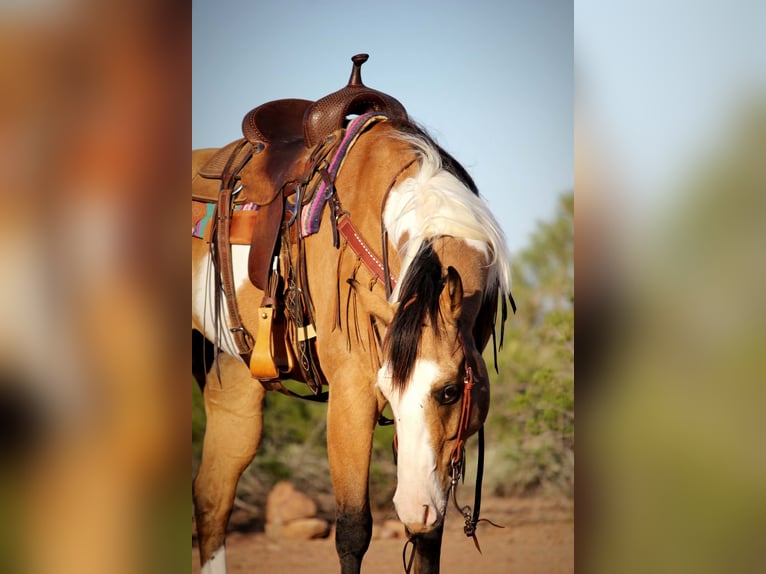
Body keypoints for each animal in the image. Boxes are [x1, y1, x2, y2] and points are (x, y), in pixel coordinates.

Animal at [192, 70, 513, 574]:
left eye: (448, 391)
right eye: (388, 392)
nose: (413, 507)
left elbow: (428, 541)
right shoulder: (351, 392)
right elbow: (352, 529)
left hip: (232, 382)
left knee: (212, 498)